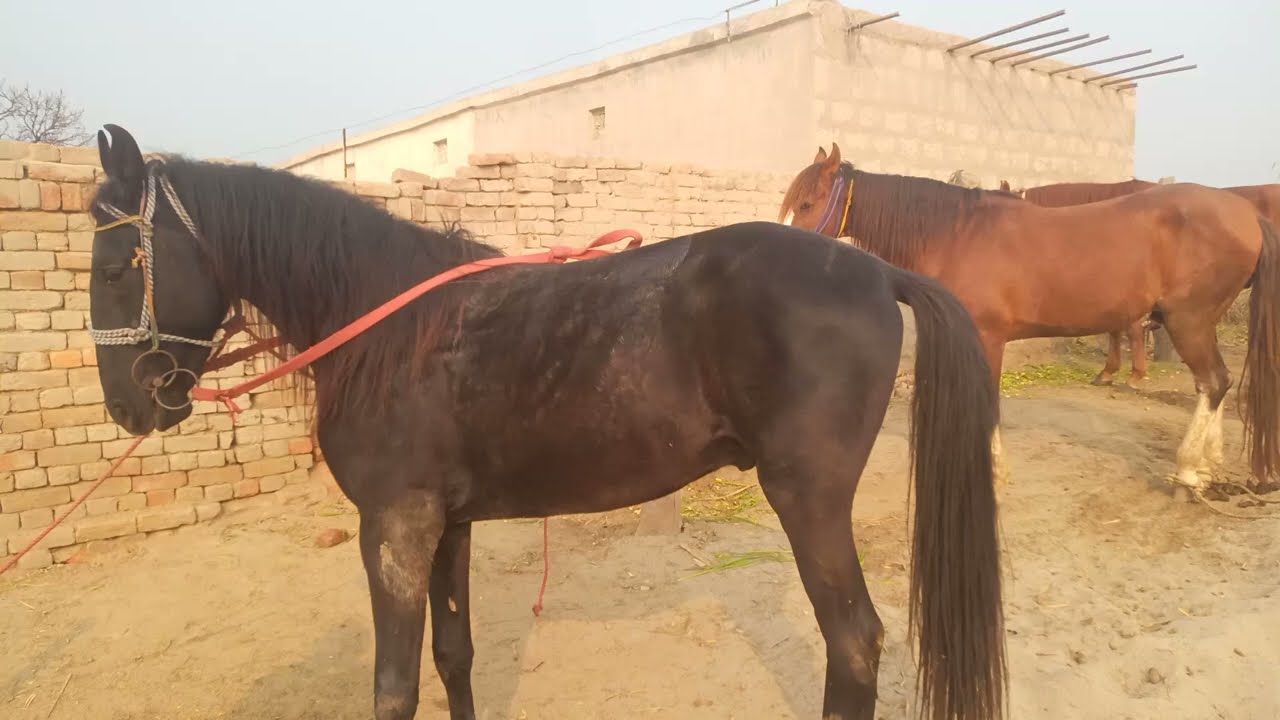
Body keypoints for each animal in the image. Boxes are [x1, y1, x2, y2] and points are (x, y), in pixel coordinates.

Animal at [87, 125, 1007, 720]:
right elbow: (453, 658)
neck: (391, 327)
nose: (130, 404)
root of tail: (873, 268)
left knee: (853, 647)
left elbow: (394, 689)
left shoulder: (393, 528)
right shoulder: (445, 526)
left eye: (114, 264)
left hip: (807, 500)